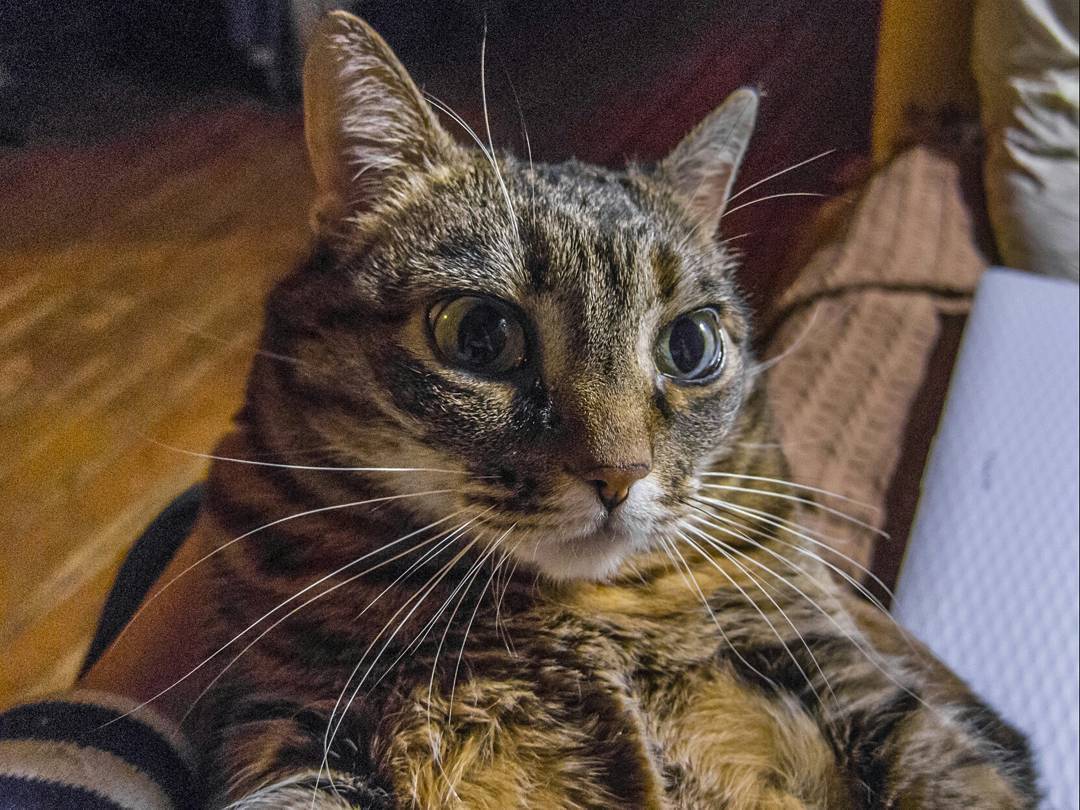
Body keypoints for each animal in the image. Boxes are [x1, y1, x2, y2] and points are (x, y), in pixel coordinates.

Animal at [188, 11, 1038, 808]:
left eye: (691, 345)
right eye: (480, 334)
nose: (619, 474)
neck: (582, 611)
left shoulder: (849, 674)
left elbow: (953, 773)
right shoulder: (297, 725)